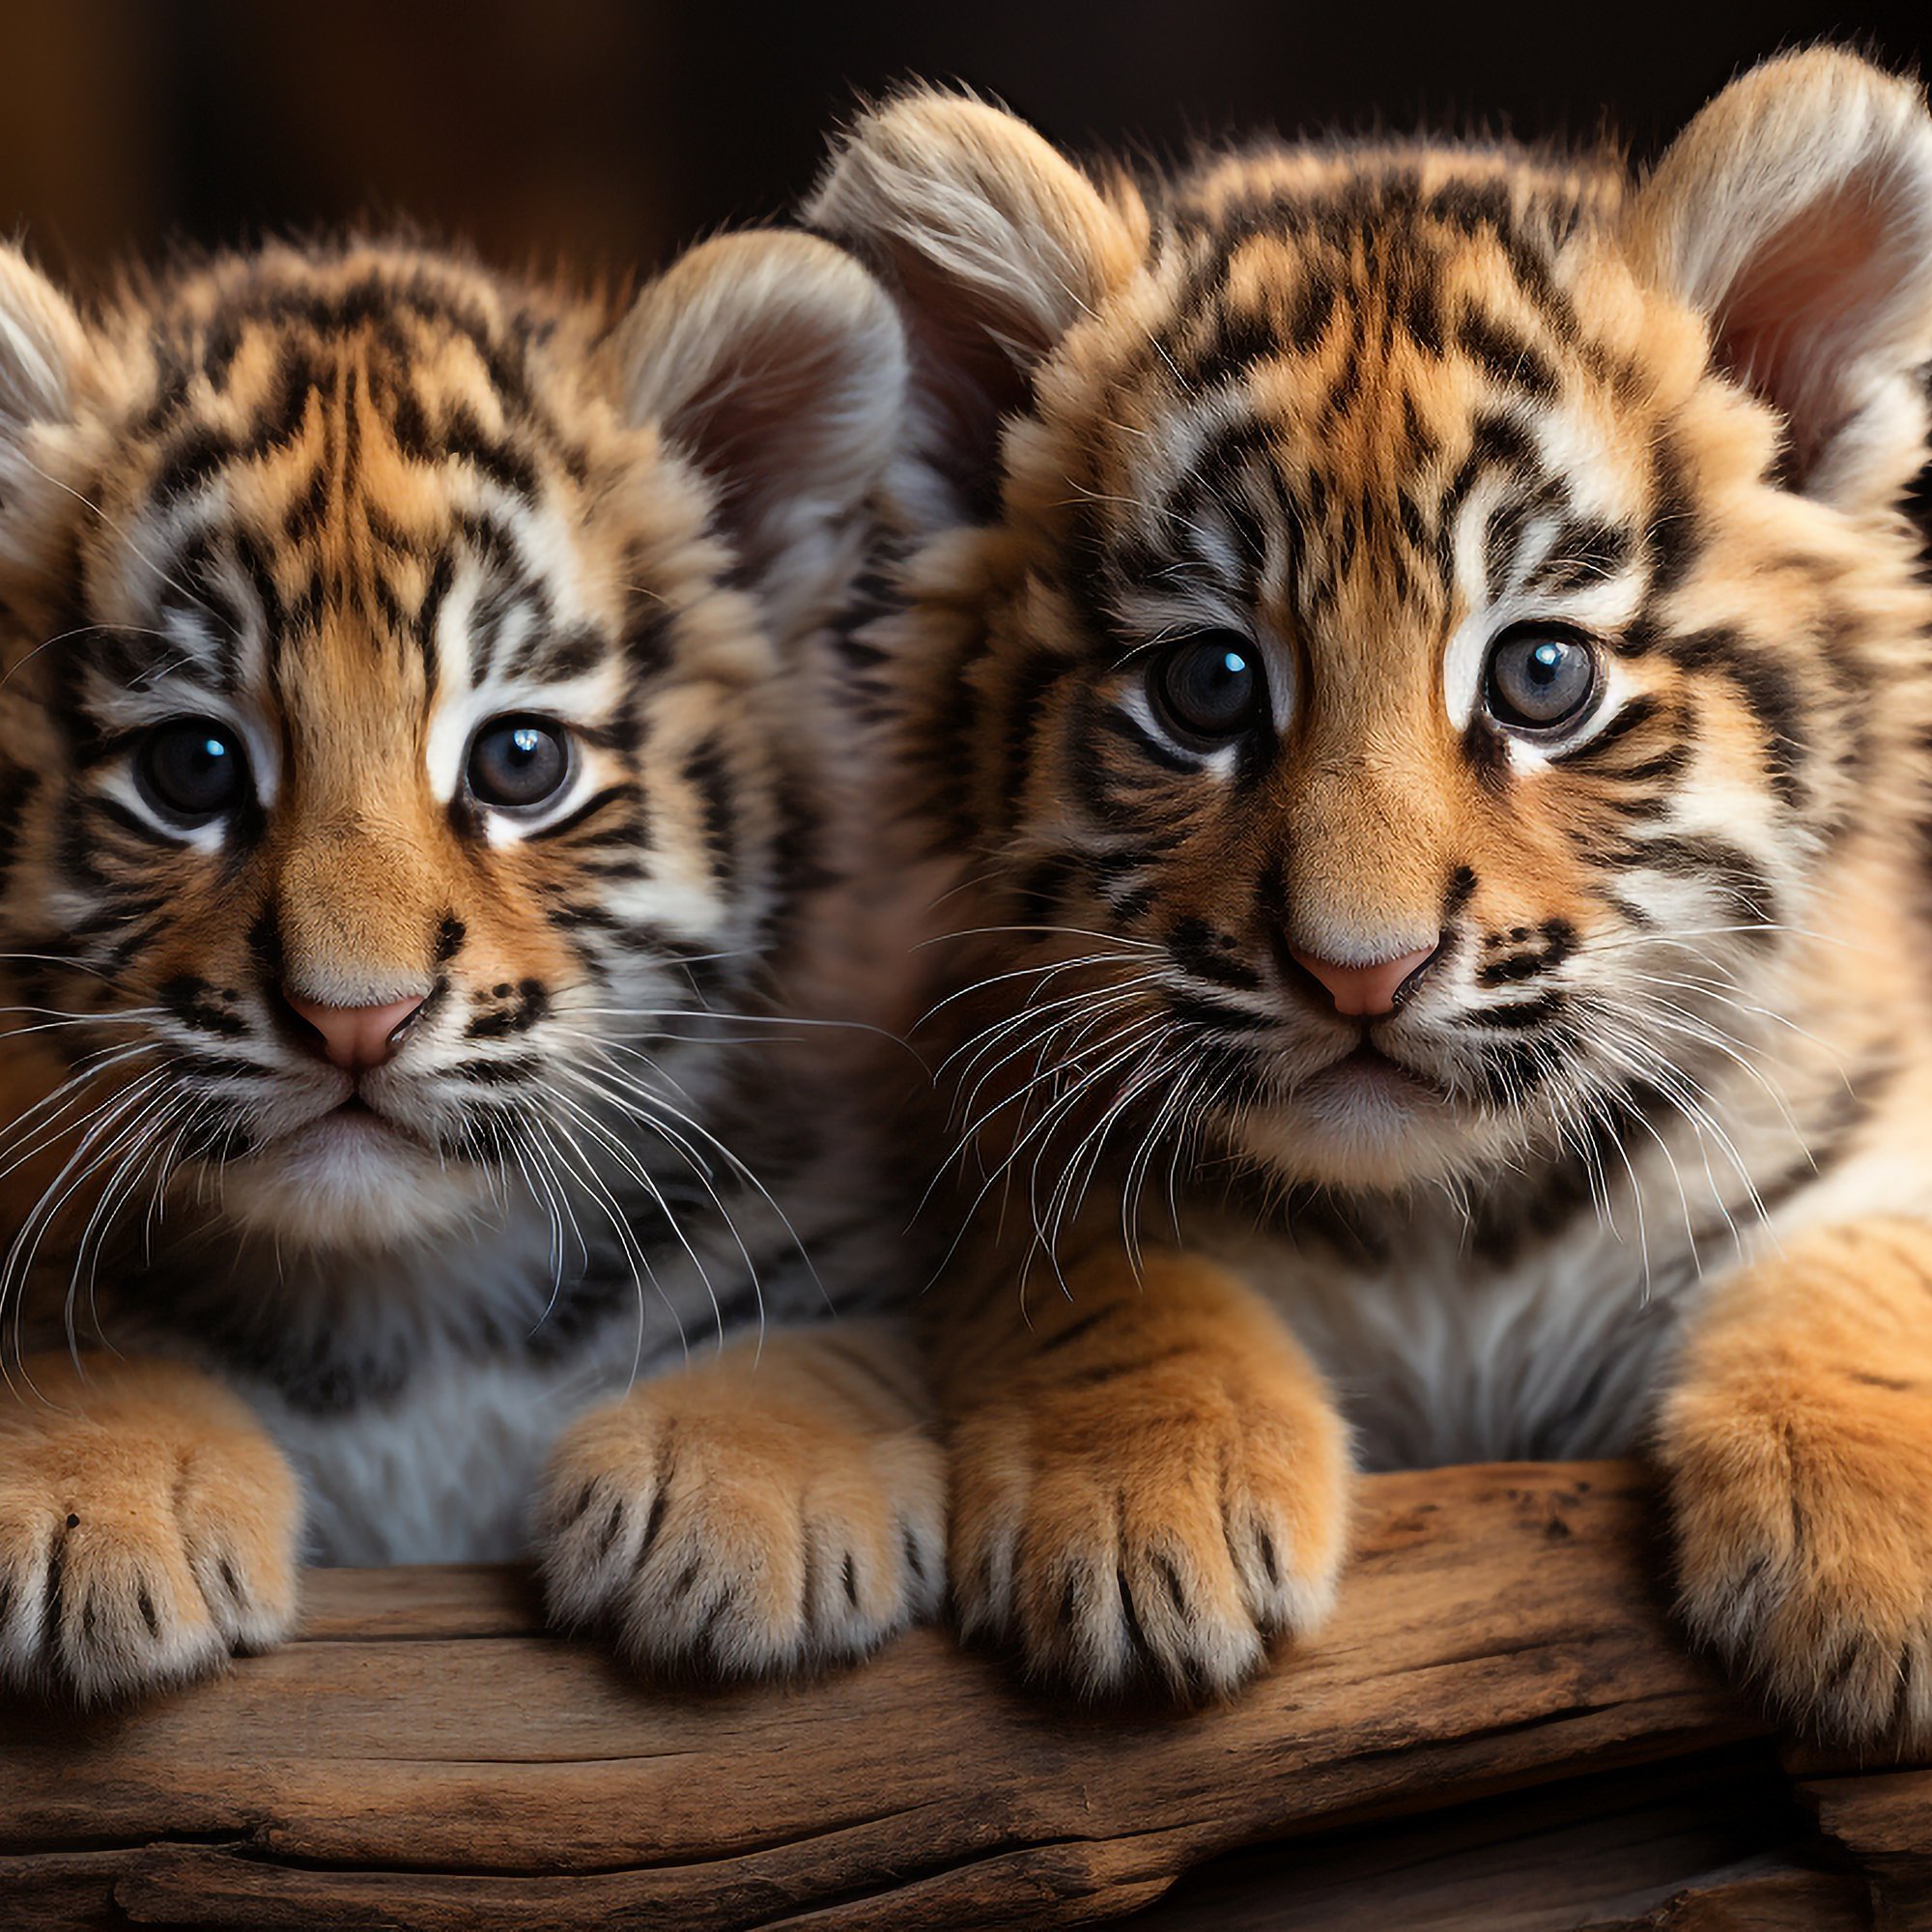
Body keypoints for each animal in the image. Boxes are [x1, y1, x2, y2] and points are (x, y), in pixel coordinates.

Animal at [0, 228, 945, 1703]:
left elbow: (815, 1346)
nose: (352, 1017)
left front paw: (754, 1494)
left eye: (519, 761)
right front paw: (81, 1487)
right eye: (190, 768)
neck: (410, 1308)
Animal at [809, 48, 1932, 1747]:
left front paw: (1875, 1566)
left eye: (1542, 676)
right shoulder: (972, 1092)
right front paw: (1145, 1514)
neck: (1446, 1230)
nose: (1359, 971)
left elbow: (1866, 1258)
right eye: (1209, 687)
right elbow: (1098, 1266)